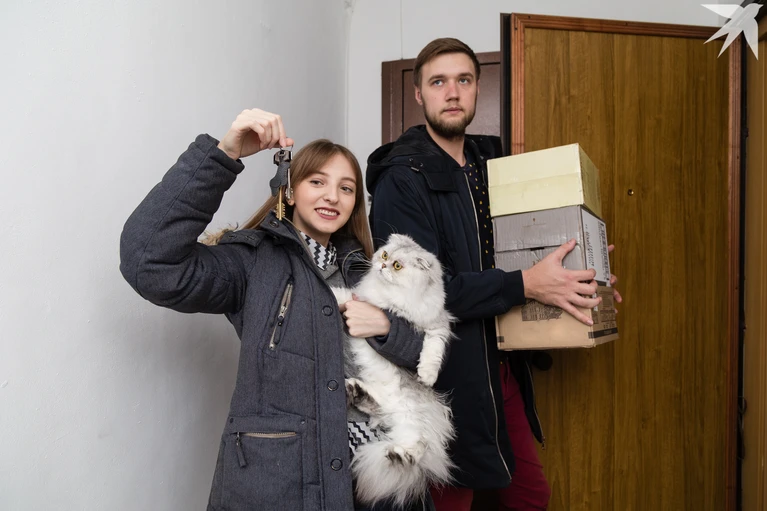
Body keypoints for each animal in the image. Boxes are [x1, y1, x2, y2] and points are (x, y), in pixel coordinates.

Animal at [332, 233, 455, 508]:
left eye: (397, 266)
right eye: (386, 255)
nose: (382, 265)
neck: (390, 299)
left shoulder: (438, 326)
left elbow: (433, 349)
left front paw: (426, 374)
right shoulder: (358, 299)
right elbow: (341, 295)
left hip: (415, 420)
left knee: (419, 447)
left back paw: (401, 457)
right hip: (394, 410)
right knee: (380, 409)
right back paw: (357, 392)